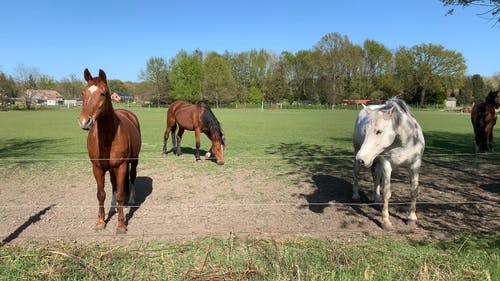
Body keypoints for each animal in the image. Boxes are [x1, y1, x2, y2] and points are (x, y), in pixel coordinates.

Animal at [77, 69, 141, 233]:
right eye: (83, 93)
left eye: (103, 93)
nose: (84, 121)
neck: (108, 137)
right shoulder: (97, 168)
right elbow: (101, 194)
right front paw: (100, 222)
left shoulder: (121, 166)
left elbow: (120, 195)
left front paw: (121, 225)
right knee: (113, 185)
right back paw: (113, 207)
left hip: (134, 161)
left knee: (132, 177)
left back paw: (131, 200)